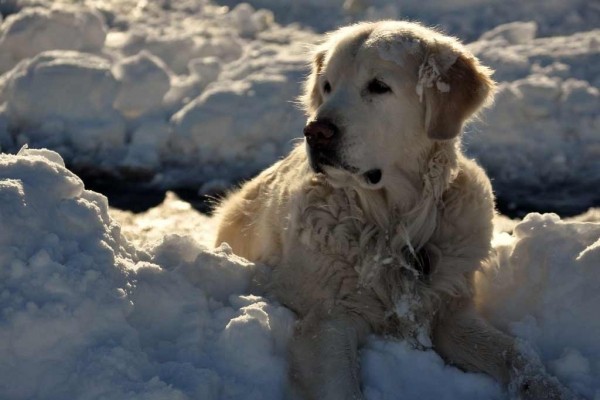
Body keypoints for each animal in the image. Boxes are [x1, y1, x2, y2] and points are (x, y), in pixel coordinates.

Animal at [214, 21, 576, 400]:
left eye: (378, 86)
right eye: (327, 86)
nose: (315, 132)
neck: (394, 221)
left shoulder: (450, 311)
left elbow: (516, 353)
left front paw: (553, 390)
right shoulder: (328, 318)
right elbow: (343, 387)